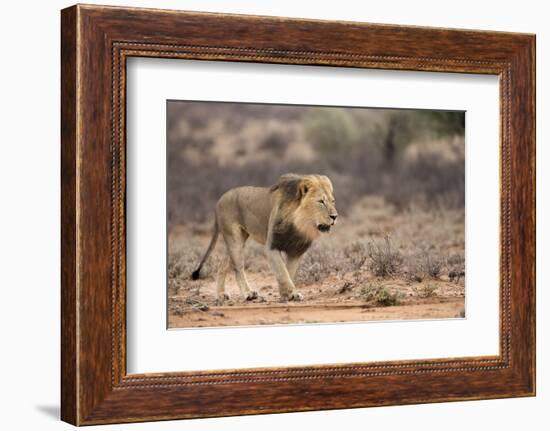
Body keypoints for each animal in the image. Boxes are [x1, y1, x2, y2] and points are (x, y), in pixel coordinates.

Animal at [194, 174, 340, 302]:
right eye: (321, 201)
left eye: (333, 201)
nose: (334, 216)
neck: (300, 225)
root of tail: (219, 200)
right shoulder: (272, 247)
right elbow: (282, 272)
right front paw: (291, 294)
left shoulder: (295, 252)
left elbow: (289, 273)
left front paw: (286, 295)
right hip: (234, 238)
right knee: (238, 267)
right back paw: (248, 293)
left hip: (238, 239)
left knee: (222, 264)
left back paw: (221, 294)